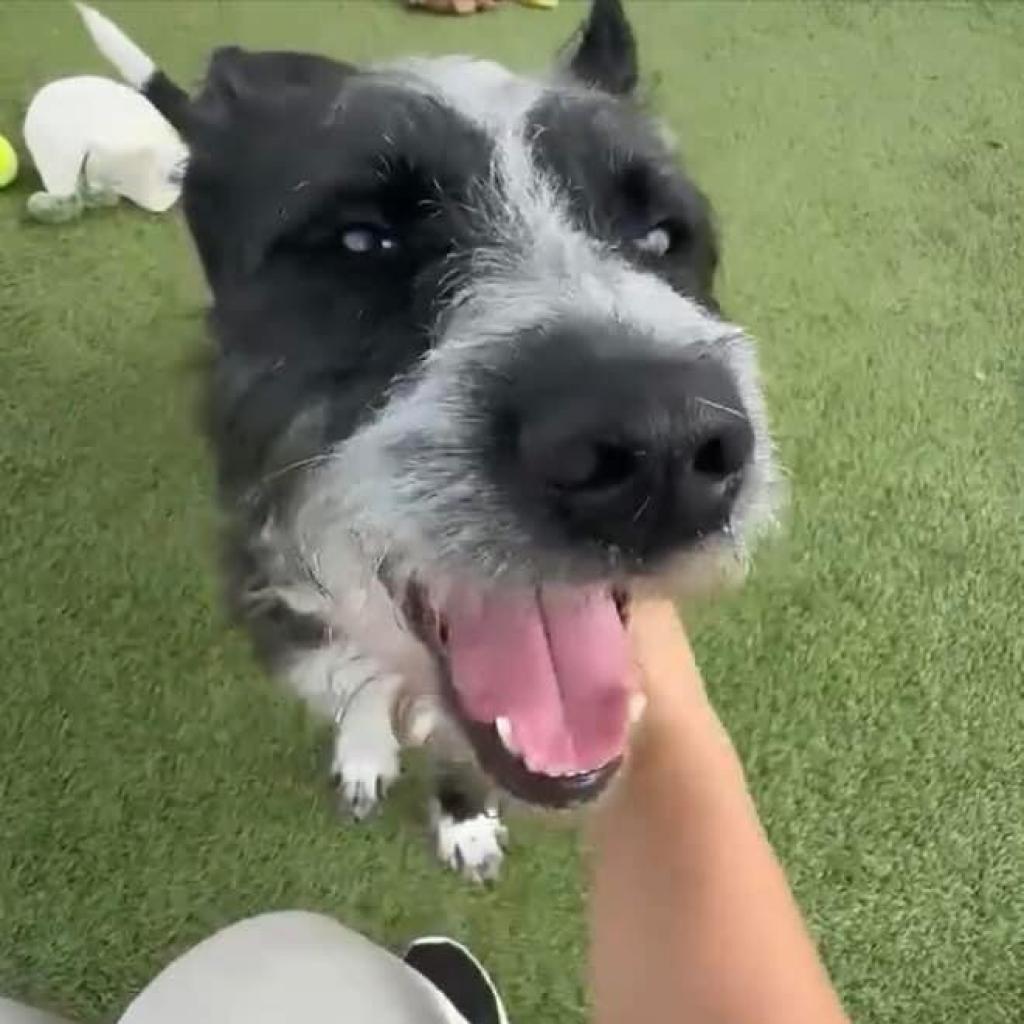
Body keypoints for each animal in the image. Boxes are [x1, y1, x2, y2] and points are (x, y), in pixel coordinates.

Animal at [79, 0, 778, 880]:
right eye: (360, 242)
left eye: (659, 237)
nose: (664, 449)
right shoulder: (277, 584)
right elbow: (351, 674)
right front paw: (365, 751)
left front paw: (464, 818)